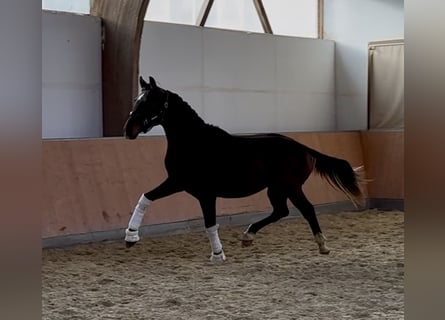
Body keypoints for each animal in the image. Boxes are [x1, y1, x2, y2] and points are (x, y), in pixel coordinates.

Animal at [123, 75, 362, 262]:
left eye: (150, 101)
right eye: (136, 100)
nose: (128, 130)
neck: (195, 142)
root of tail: (304, 148)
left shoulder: (201, 192)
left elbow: (210, 223)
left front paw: (218, 255)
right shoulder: (179, 183)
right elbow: (146, 197)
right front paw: (130, 237)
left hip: (287, 187)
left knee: (304, 210)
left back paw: (318, 244)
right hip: (280, 189)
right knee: (286, 211)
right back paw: (252, 236)